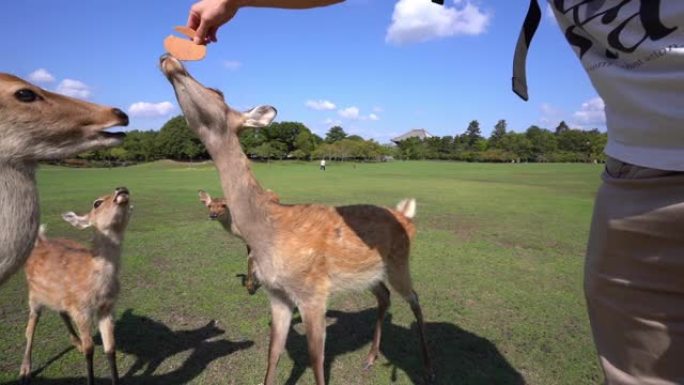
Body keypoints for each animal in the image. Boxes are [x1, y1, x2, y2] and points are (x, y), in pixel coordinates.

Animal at [21, 187, 134, 384]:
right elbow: (90, 350)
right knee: (31, 325)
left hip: (58, 297)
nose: (122, 189)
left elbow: (110, 348)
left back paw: (76, 342)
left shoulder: (107, 308)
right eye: (97, 203)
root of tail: (40, 241)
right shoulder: (81, 309)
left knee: (61, 312)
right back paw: (25, 369)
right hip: (34, 295)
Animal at [162, 54, 432, 384]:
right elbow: (273, 354)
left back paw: (428, 368)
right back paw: (370, 357)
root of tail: (407, 216)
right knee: (384, 296)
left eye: (217, 91)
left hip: (399, 263)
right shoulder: (277, 296)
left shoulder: (313, 293)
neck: (266, 231)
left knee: (415, 298)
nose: (170, 60)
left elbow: (316, 361)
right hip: (370, 274)